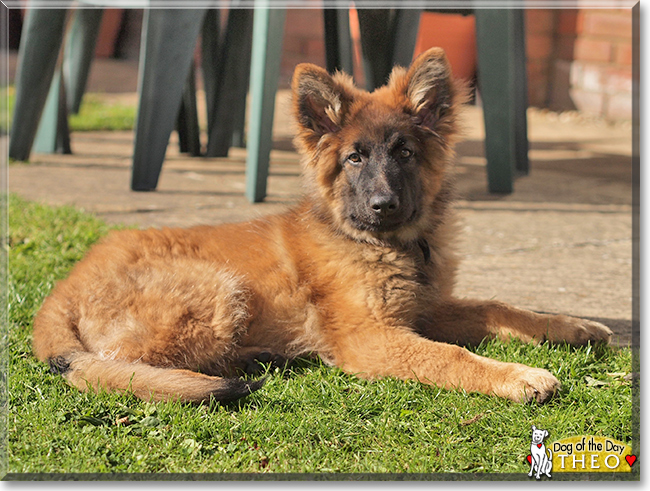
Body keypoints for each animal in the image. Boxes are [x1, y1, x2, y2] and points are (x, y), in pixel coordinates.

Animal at [30, 48, 612, 406]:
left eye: (404, 152)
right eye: (355, 158)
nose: (382, 204)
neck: (391, 245)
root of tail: (63, 288)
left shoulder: (422, 310)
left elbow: (499, 307)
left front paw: (571, 326)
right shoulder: (373, 337)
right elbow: (450, 356)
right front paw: (519, 376)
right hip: (218, 290)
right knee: (113, 366)